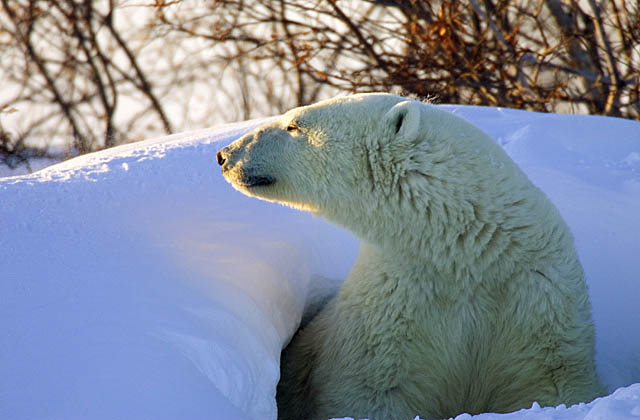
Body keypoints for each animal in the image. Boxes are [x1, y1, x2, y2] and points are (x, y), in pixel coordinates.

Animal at [218, 93, 604, 418]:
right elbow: (374, 390)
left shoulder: (535, 296)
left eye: (293, 125)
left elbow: (547, 378)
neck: (464, 250)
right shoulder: (394, 305)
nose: (225, 155)